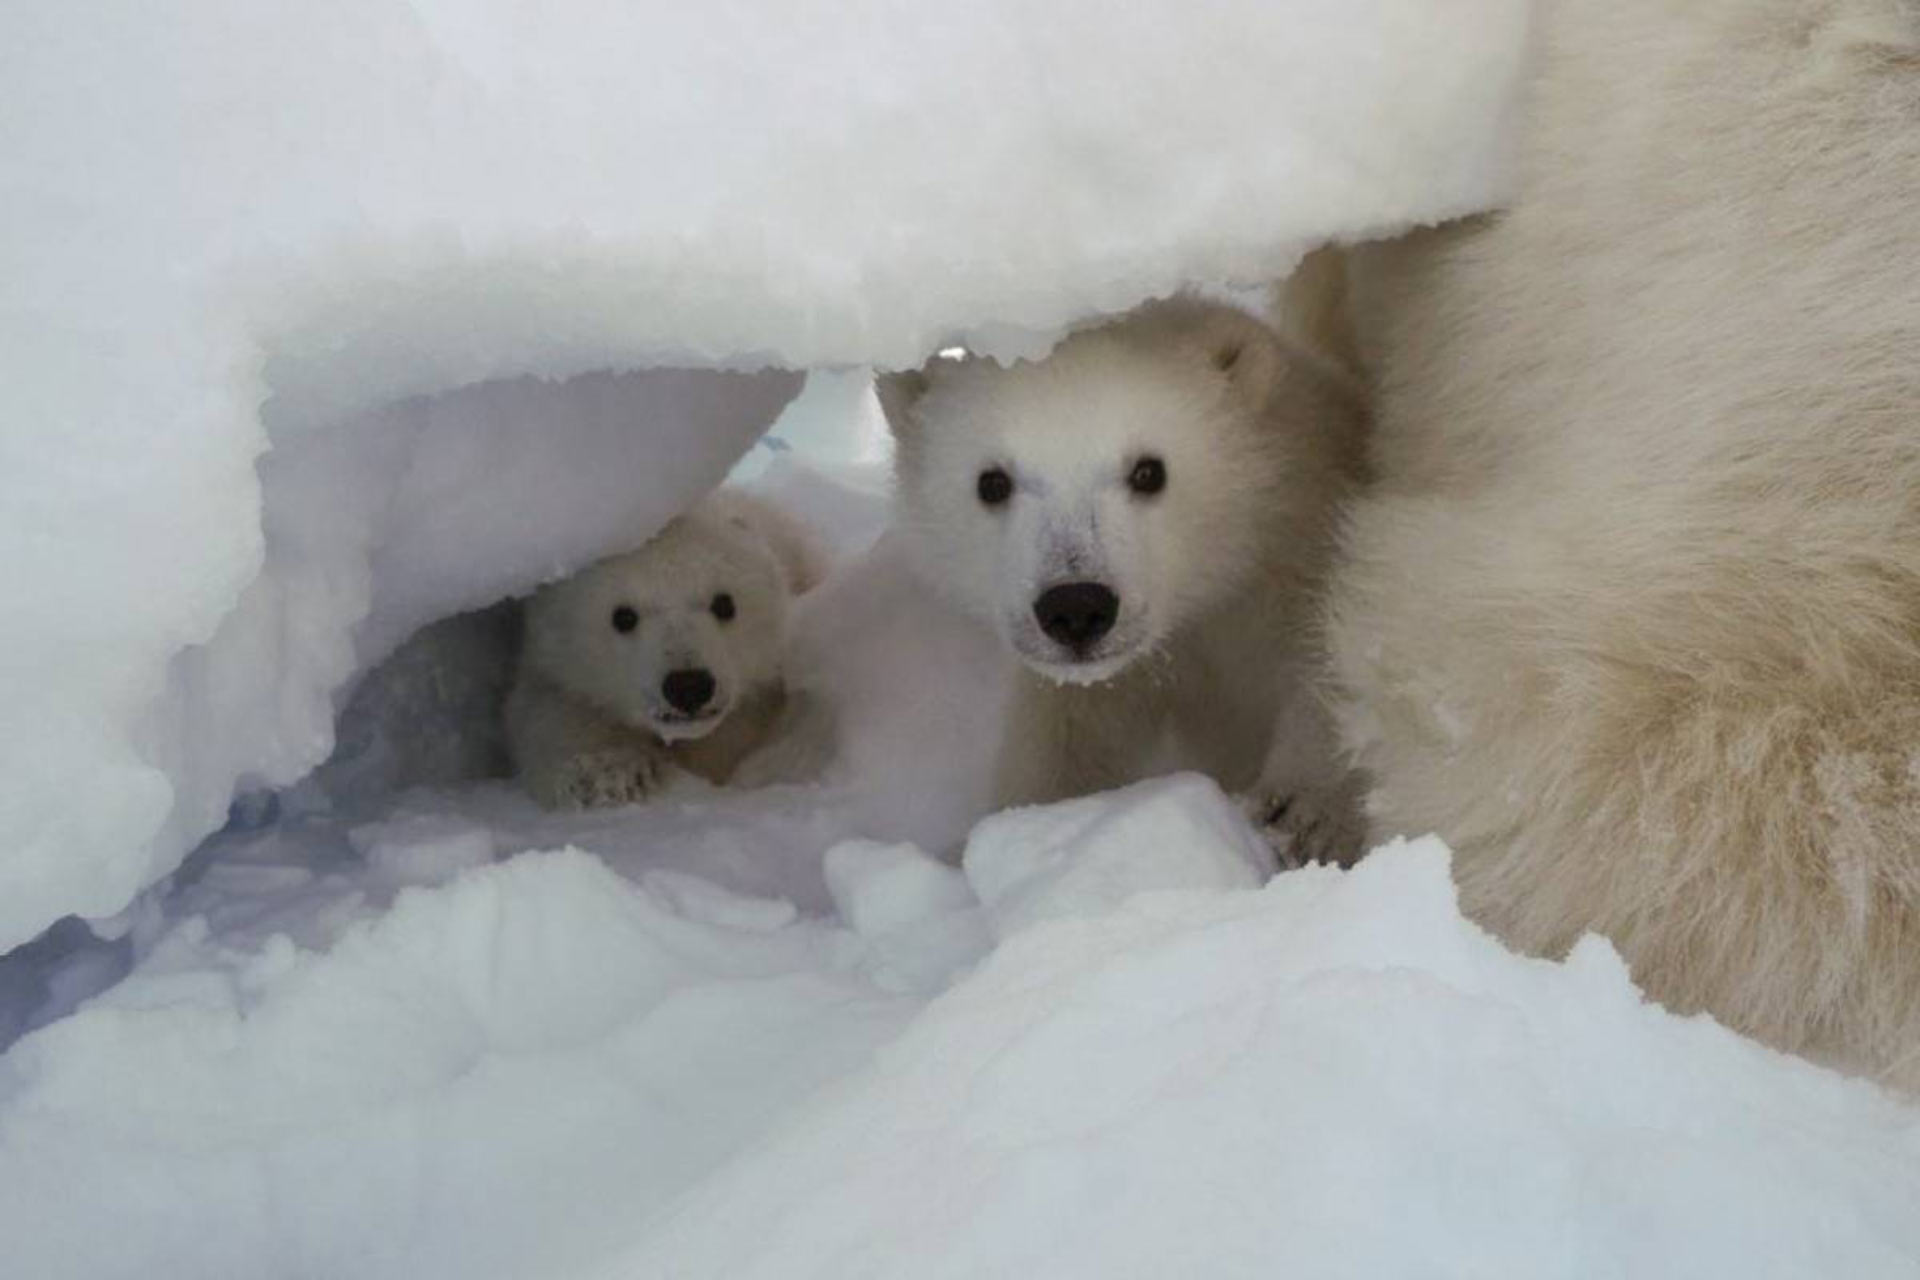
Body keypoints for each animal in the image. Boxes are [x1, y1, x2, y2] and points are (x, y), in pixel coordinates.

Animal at [505, 490, 824, 810]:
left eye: (725, 603)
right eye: (622, 616)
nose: (688, 686)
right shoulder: (552, 671)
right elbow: (556, 716)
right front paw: (611, 773)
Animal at [878, 296, 1369, 867]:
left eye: (1149, 471)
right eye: (992, 483)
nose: (1076, 607)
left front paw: (1304, 815)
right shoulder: (1114, 680)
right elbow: (1068, 743)